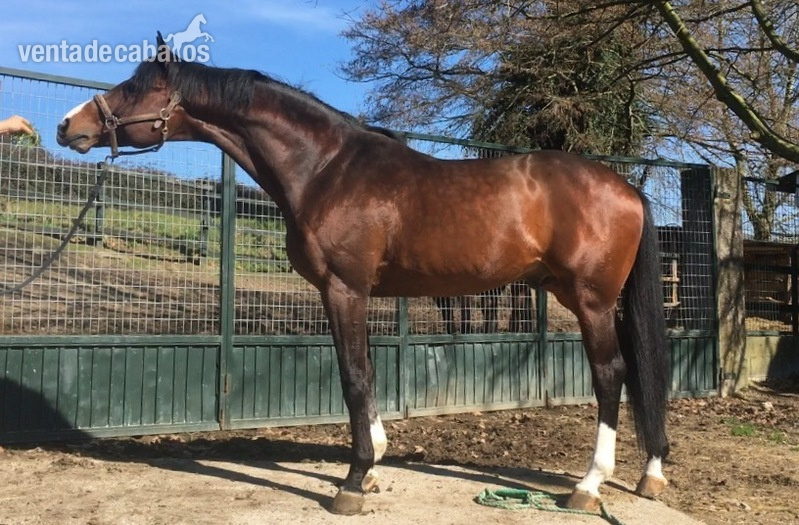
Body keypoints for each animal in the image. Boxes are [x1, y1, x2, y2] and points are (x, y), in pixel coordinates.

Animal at [56, 34, 671, 515]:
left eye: (133, 88)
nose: (67, 126)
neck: (326, 169)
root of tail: (626, 187)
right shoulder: (356, 294)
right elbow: (367, 374)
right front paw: (373, 467)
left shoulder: (343, 288)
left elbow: (353, 376)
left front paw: (352, 482)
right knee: (636, 373)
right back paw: (650, 473)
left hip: (590, 301)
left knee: (612, 375)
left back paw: (588, 486)